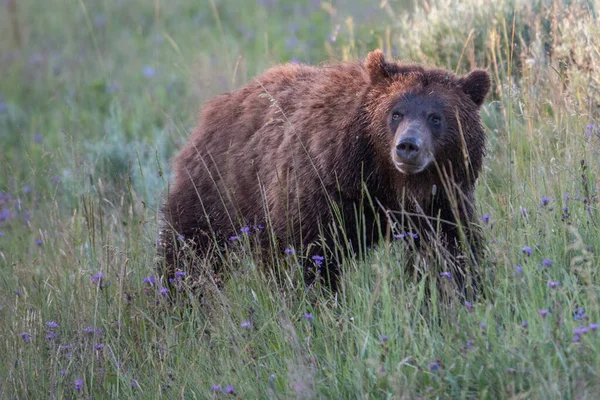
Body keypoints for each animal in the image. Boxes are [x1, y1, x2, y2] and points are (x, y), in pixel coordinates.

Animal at [158, 49, 488, 294]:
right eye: (396, 112)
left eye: (436, 117)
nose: (408, 146)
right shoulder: (323, 191)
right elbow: (313, 259)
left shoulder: (442, 200)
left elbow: (449, 251)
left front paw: (456, 296)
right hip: (219, 189)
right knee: (190, 251)